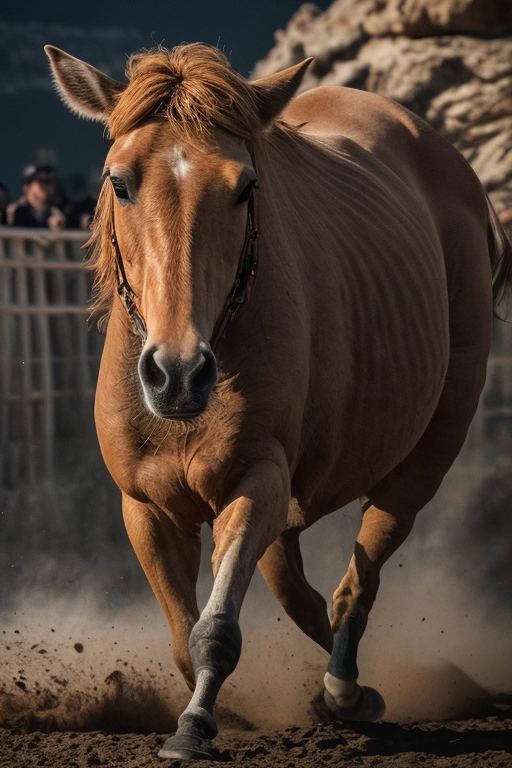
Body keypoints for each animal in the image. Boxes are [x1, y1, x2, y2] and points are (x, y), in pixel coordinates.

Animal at [45, 43, 512, 760]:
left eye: (245, 187)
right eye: (119, 182)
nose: (178, 373)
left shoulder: (258, 480)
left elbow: (215, 629)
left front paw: (194, 726)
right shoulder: (146, 507)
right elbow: (184, 636)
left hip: (430, 448)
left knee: (363, 567)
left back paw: (350, 690)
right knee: (295, 583)